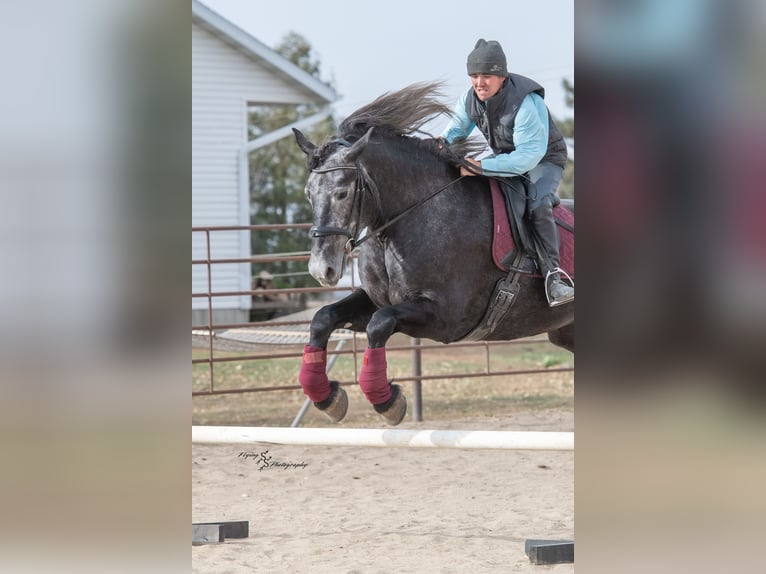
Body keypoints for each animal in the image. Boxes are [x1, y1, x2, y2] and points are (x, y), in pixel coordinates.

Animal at [293, 82, 574, 425]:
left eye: (343, 193)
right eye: (308, 193)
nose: (322, 270)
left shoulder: (444, 318)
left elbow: (379, 325)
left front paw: (387, 401)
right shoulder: (377, 300)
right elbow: (323, 318)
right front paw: (326, 396)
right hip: (566, 333)